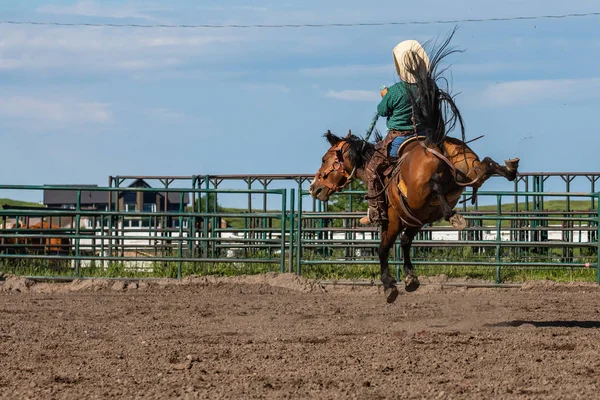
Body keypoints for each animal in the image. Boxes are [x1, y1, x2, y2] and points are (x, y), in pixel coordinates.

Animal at [308, 34, 516, 304]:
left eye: (325, 158)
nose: (314, 188)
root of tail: (432, 143)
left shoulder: (393, 222)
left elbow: (383, 249)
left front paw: (390, 287)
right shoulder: (415, 220)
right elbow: (406, 243)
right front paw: (410, 280)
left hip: (421, 190)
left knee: (436, 184)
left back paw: (455, 216)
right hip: (468, 169)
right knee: (485, 166)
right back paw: (510, 168)